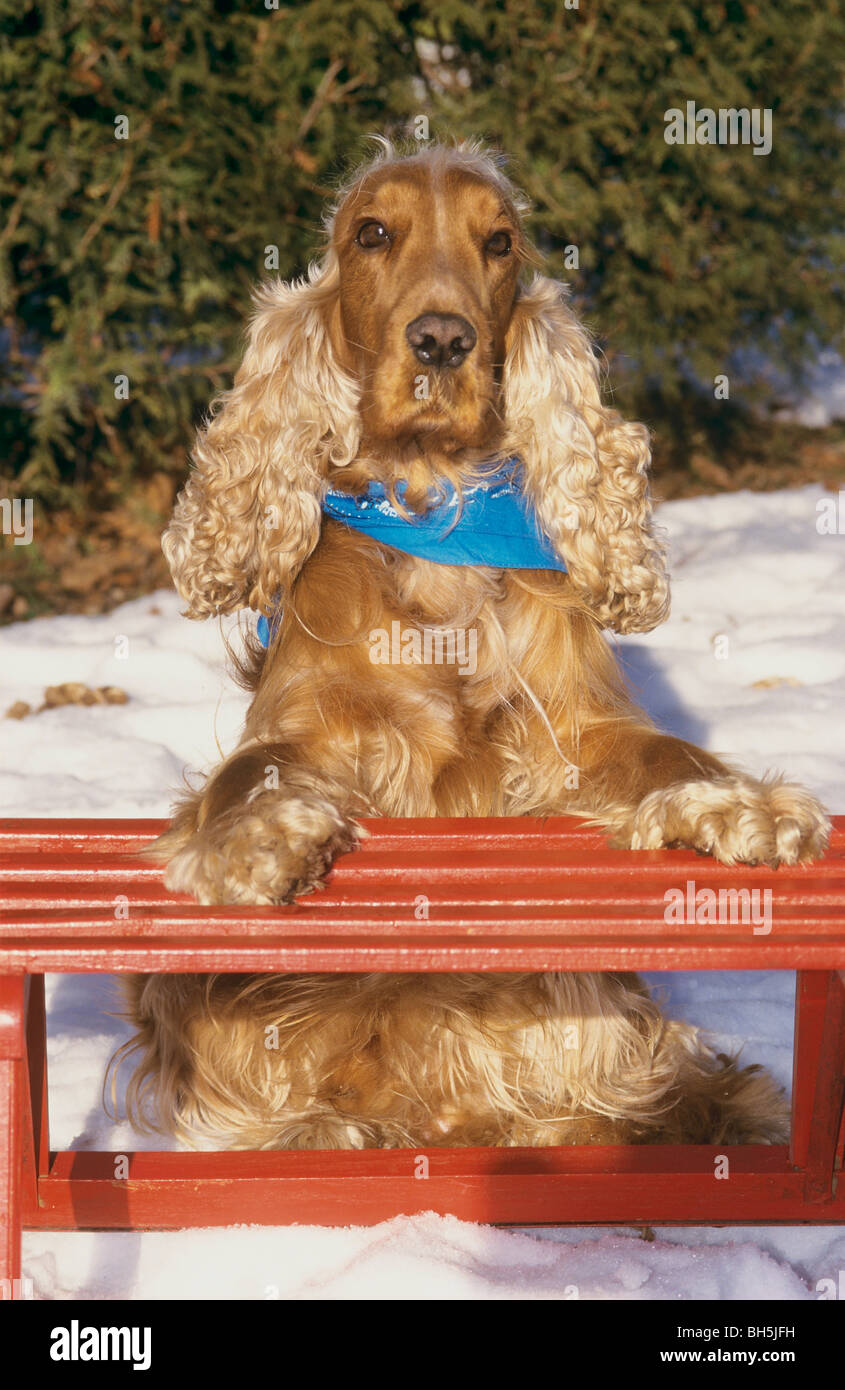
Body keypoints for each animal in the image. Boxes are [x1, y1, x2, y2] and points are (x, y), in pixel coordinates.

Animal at [118, 141, 833, 1150]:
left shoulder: (574, 728)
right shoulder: (310, 725)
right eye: (371, 233)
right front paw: (258, 840)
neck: (433, 509)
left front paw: (739, 806)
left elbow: (664, 751)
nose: (441, 341)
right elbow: (248, 773)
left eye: (498, 243)